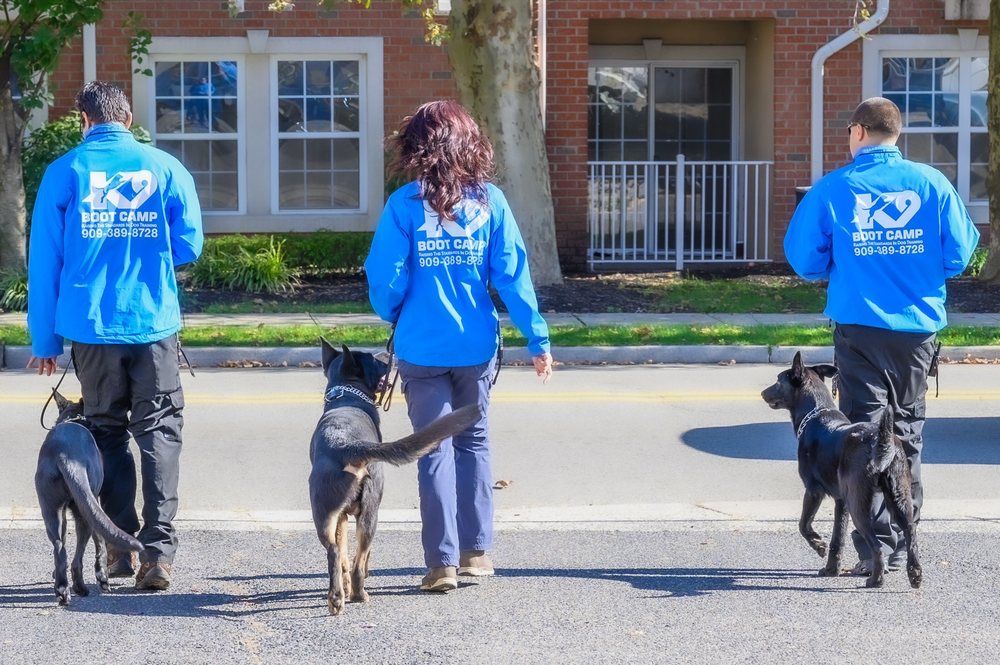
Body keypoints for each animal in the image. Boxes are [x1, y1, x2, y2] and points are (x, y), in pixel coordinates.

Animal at [34, 392, 143, 604]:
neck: (73, 419)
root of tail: (65, 456)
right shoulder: (93, 503)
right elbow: (100, 543)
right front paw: (103, 578)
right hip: (84, 512)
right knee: (77, 559)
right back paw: (82, 587)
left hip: (51, 510)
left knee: (60, 549)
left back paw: (62, 589)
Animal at [312, 340, 484, 616]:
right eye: (371, 358)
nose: (386, 354)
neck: (347, 397)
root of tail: (346, 444)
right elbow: (355, 558)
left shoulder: (341, 518)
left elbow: (344, 556)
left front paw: (344, 588)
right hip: (368, 513)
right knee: (357, 560)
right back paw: (358, 595)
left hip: (328, 516)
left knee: (335, 554)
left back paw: (338, 598)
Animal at [764, 352, 920, 588]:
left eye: (778, 380)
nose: (763, 393)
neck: (815, 412)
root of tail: (882, 442)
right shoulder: (841, 501)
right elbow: (838, 538)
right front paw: (831, 569)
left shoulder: (813, 491)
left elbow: (804, 524)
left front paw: (818, 545)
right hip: (898, 498)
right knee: (911, 534)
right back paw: (915, 574)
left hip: (858, 503)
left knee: (876, 545)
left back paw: (876, 579)